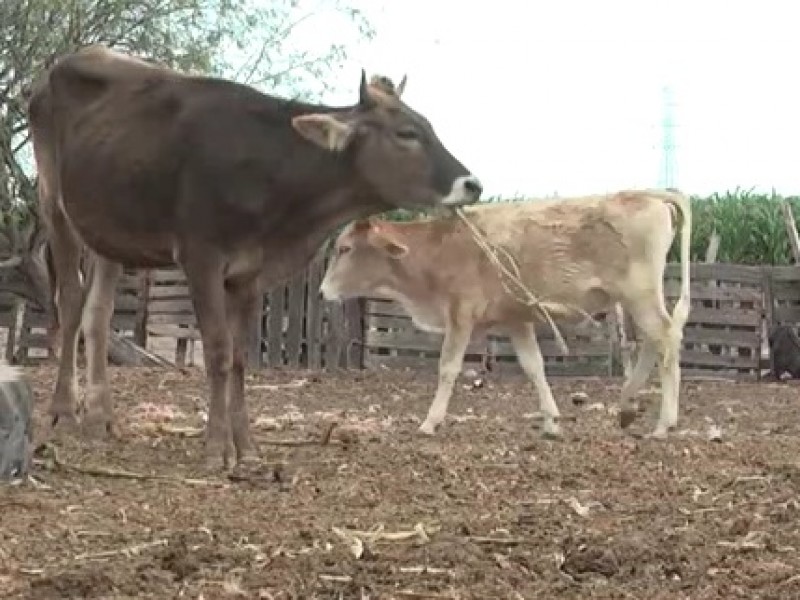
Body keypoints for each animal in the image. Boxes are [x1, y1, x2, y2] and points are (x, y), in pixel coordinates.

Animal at [28, 47, 482, 468]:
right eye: (407, 133)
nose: (472, 184)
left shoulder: (248, 271)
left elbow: (240, 357)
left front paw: (245, 446)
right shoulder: (201, 257)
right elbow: (217, 351)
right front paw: (216, 447)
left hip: (108, 229)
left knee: (98, 313)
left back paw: (100, 415)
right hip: (55, 205)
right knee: (71, 303)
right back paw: (63, 411)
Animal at [322, 190, 692, 438]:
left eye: (344, 248)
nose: (323, 291)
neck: (440, 248)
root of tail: (646, 193)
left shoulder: (461, 315)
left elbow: (448, 368)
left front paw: (429, 422)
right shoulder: (517, 320)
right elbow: (534, 367)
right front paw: (551, 422)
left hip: (640, 295)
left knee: (667, 338)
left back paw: (664, 423)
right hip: (636, 300)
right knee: (652, 342)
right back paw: (627, 406)